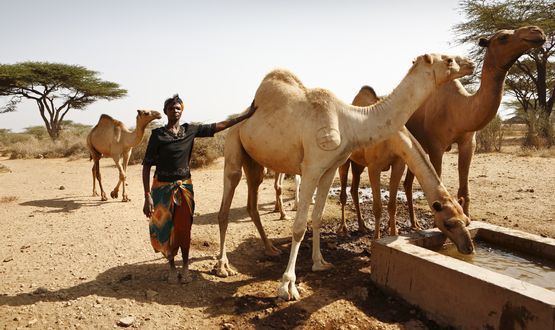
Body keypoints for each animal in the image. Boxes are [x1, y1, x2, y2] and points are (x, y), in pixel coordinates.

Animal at [215, 53, 476, 302]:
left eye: (466, 219)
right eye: (448, 60)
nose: (470, 64)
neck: (351, 121)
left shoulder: (329, 169)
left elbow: (317, 217)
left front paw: (320, 263)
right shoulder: (311, 167)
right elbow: (299, 227)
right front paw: (287, 286)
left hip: (255, 162)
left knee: (252, 201)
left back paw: (270, 249)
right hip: (233, 145)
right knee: (226, 203)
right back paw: (223, 266)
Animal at [404, 25, 548, 224]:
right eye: (503, 38)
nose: (537, 31)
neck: (459, 108)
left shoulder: (468, 142)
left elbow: (464, 189)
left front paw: (468, 219)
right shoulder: (436, 146)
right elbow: (438, 182)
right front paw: (437, 223)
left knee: (408, 181)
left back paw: (415, 223)